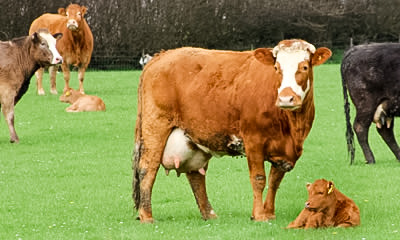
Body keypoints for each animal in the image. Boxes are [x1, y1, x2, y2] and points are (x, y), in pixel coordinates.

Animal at [132, 39, 332, 223]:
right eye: (276, 67)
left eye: (304, 67)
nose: (286, 98)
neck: (291, 126)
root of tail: (161, 55)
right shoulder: (253, 140)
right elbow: (259, 179)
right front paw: (259, 215)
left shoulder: (286, 152)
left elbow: (275, 181)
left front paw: (269, 212)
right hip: (155, 127)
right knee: (147, 168)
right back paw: (146, 215)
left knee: (195, 176)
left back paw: (210, 214)